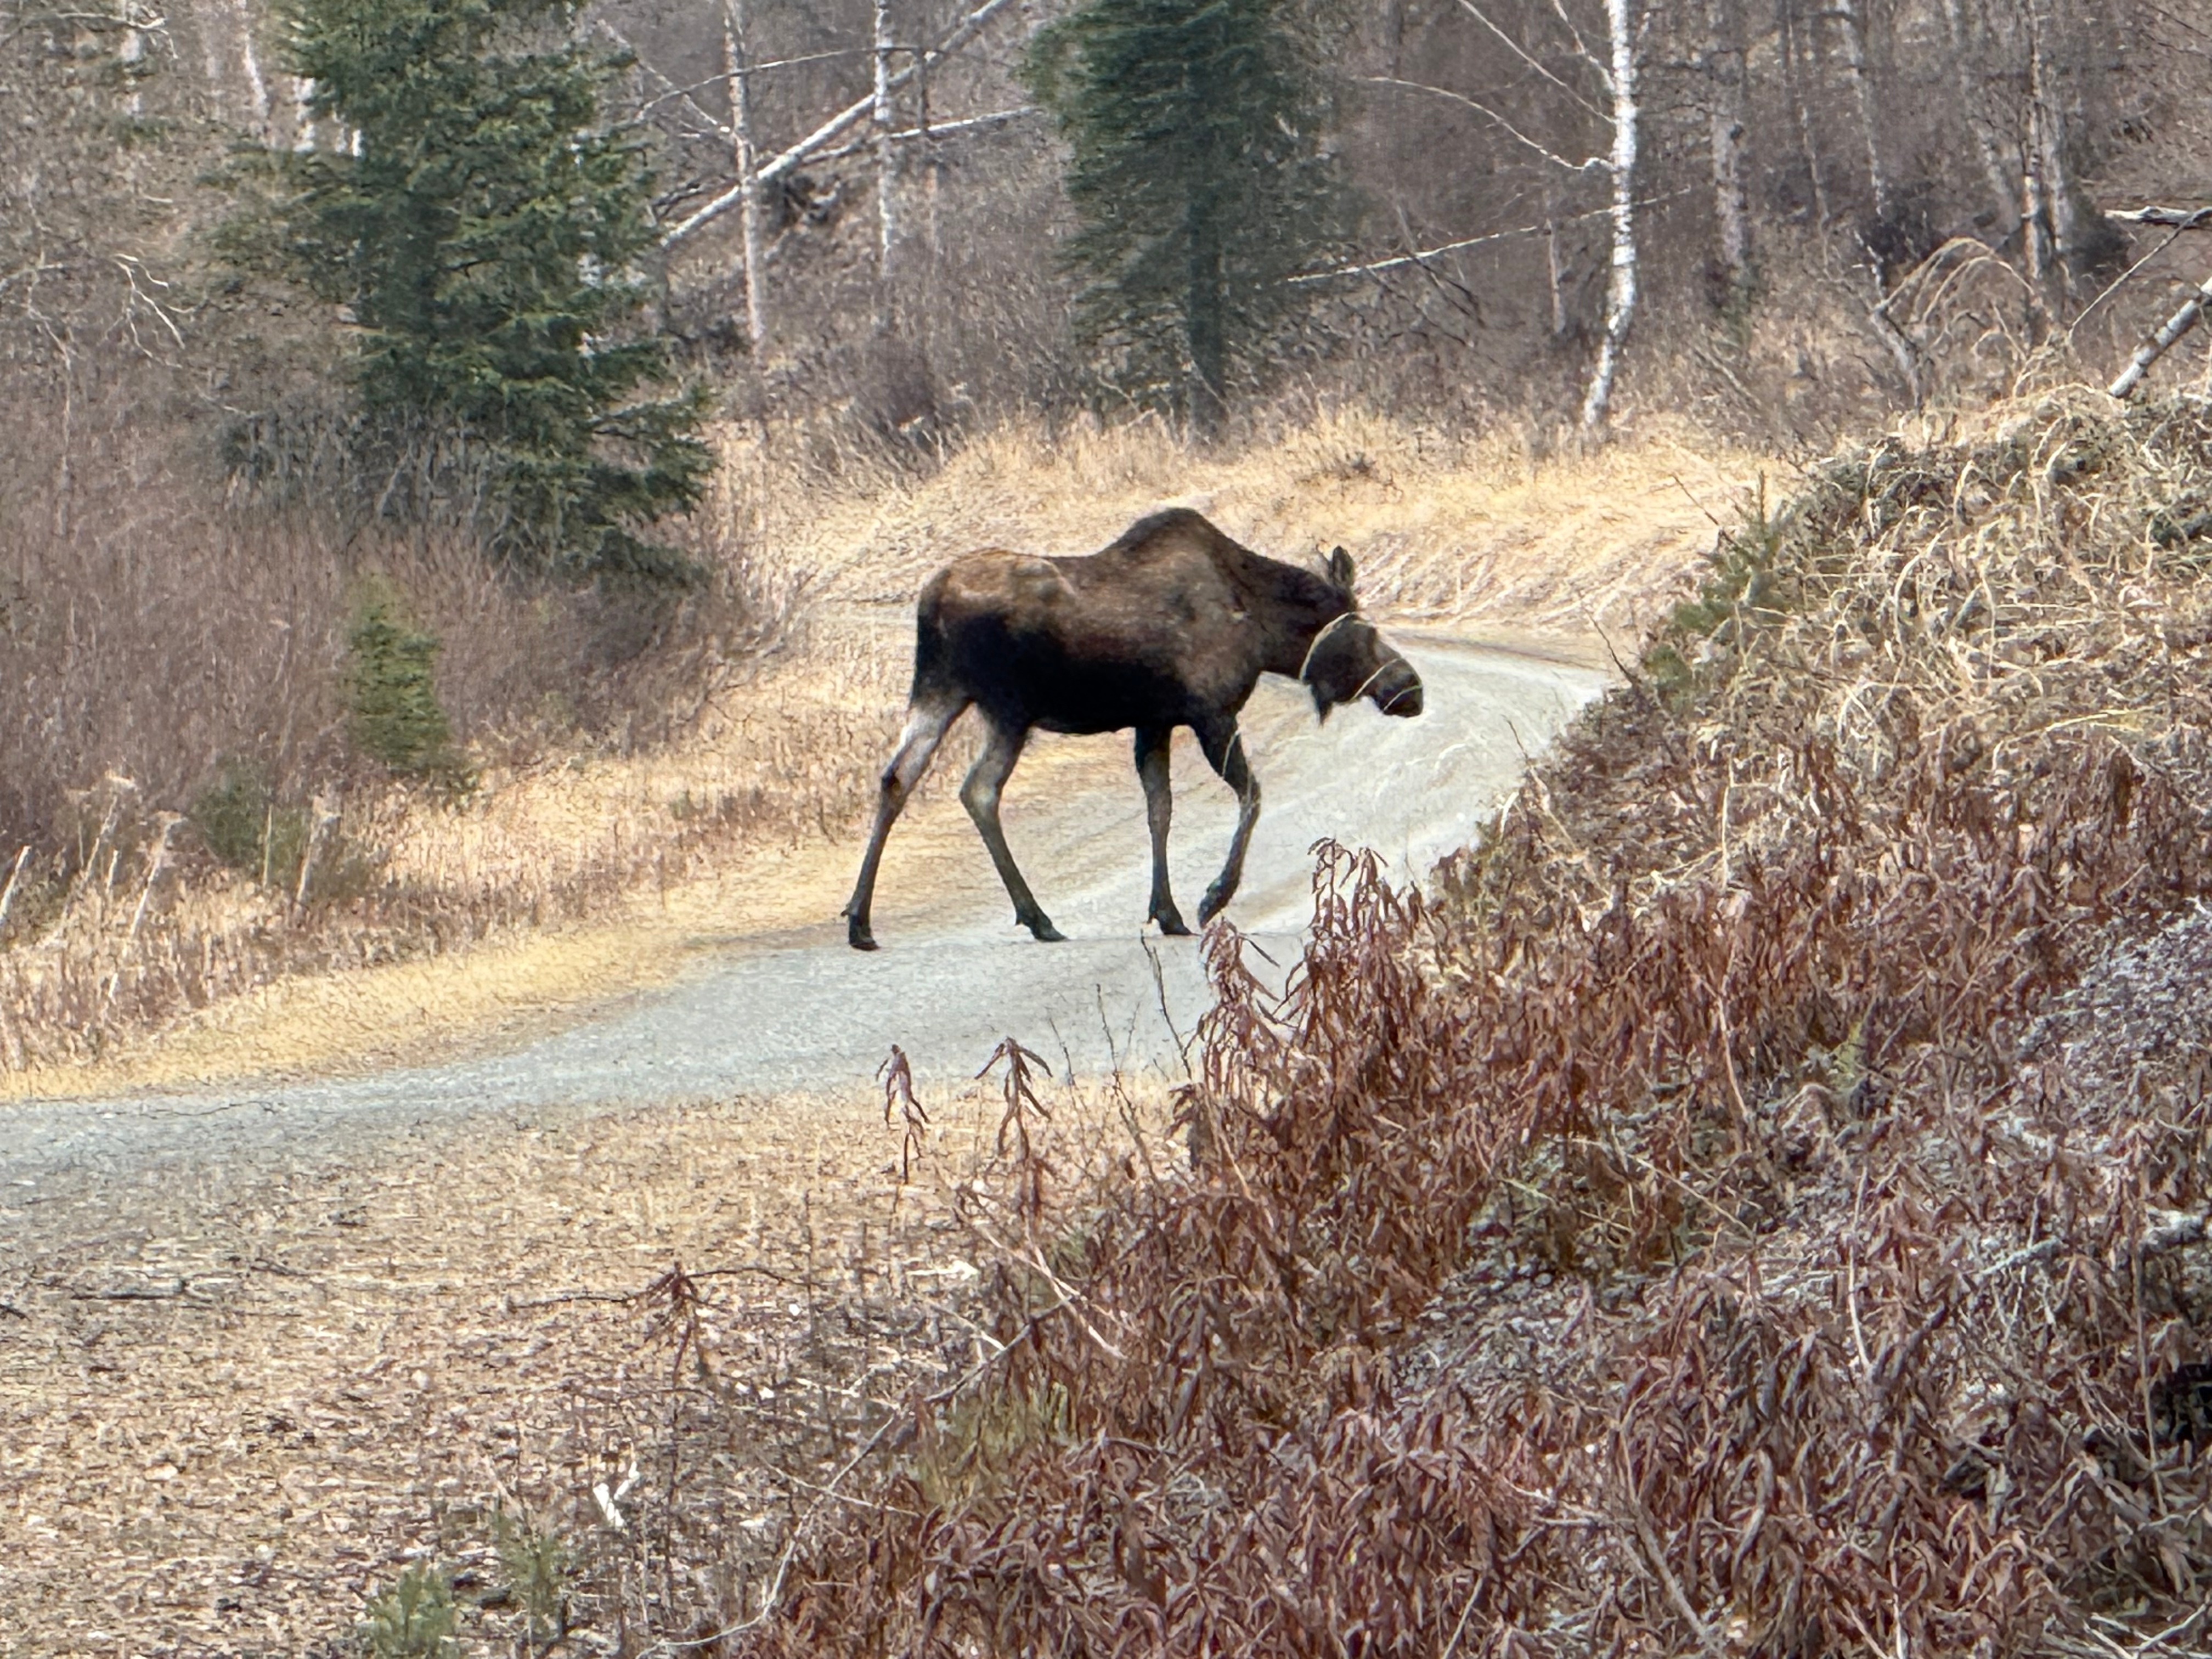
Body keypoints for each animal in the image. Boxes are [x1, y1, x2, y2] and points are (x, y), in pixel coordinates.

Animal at [842, 508, 1424, 950]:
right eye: (1367, 631)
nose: (1411, 688)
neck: (1264, 633)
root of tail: (931, 602)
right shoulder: (1211, 713)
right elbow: (1252, 795)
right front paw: (1212, 897)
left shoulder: (1155, 722)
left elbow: (1159, 810)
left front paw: (1166, 911)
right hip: (1007, 709)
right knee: (979, 790)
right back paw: (1038, 917)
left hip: (938, 691)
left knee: (897, 777)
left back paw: (860, 921)